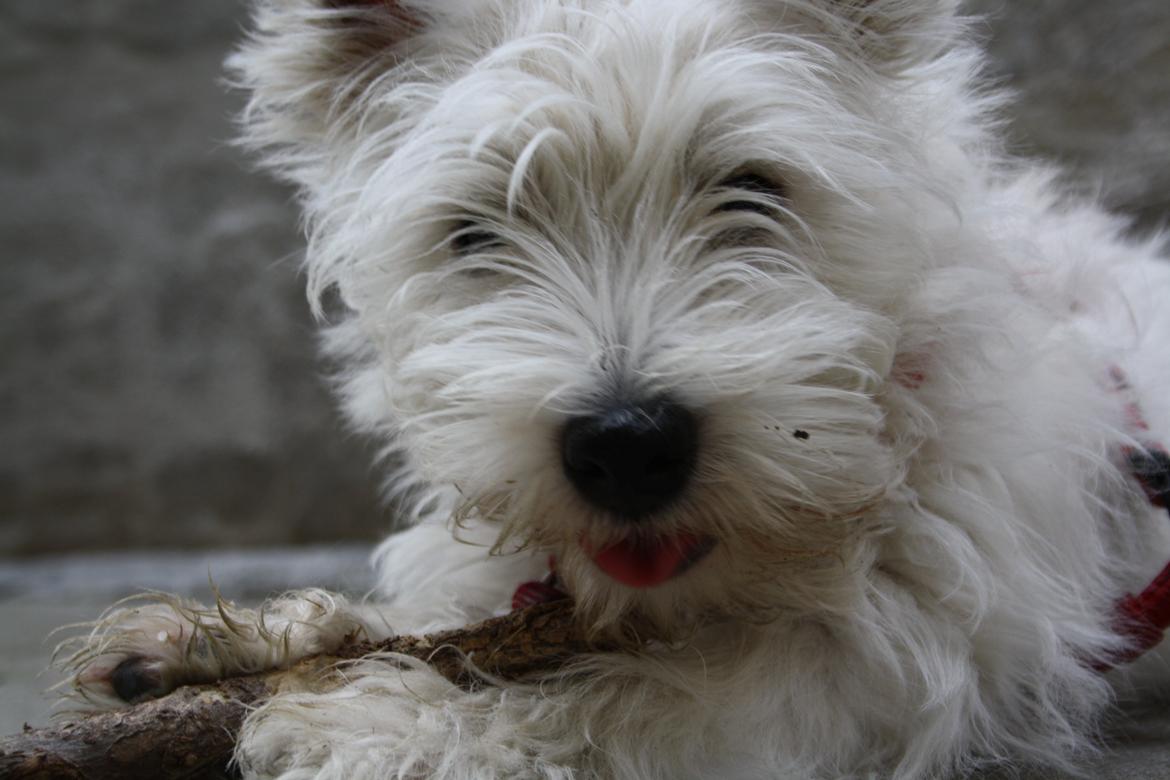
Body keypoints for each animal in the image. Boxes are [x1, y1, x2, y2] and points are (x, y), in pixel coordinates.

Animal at [61, 0, 1170, 776]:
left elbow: (627, 704)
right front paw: (231, 643)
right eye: (474, 233)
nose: (627, 445)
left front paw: (370, 723)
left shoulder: (914, 660)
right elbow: (450, 619)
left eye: (753, 188)